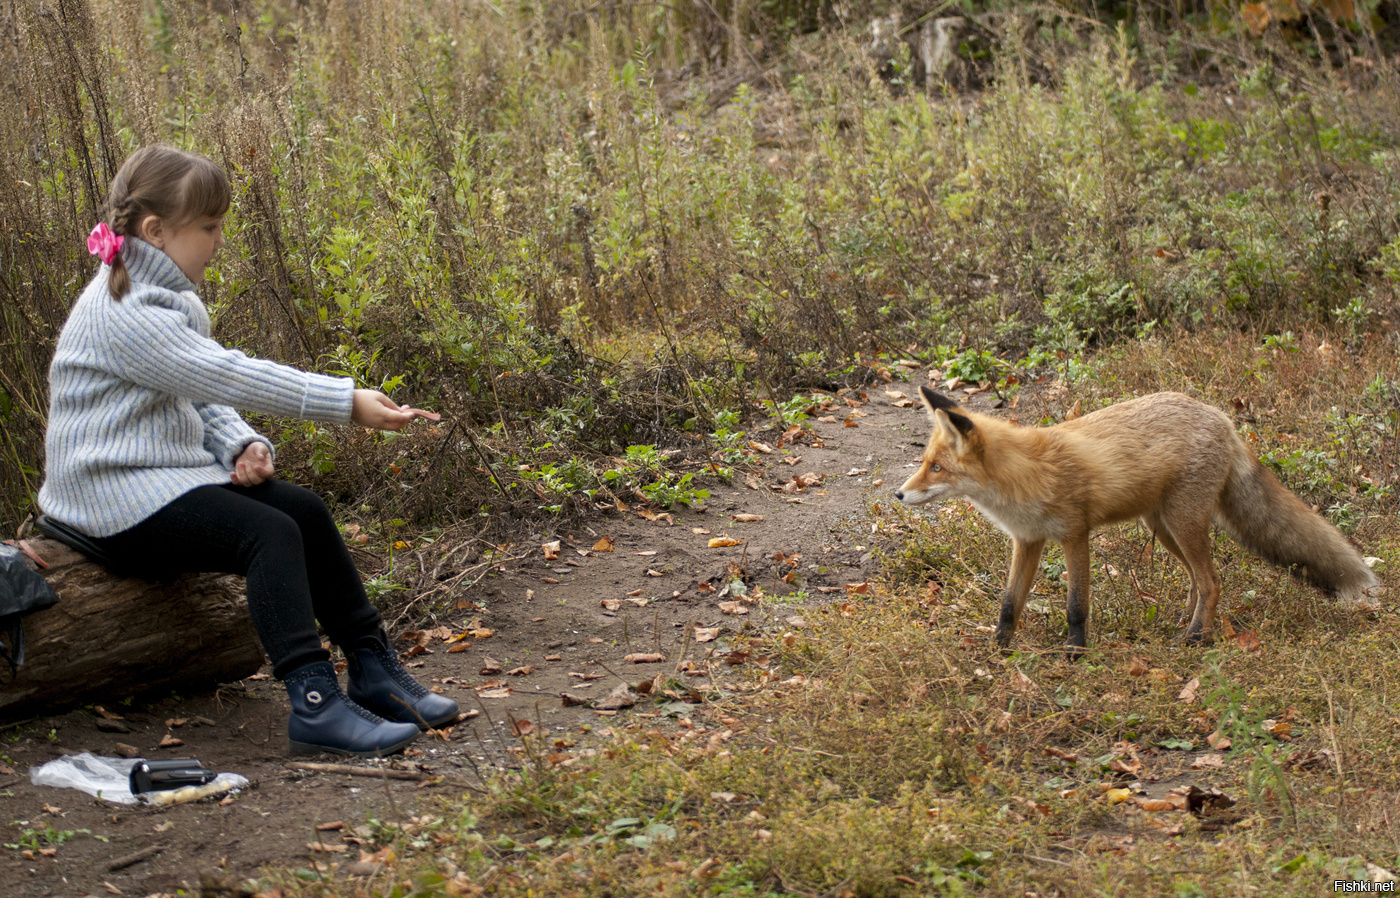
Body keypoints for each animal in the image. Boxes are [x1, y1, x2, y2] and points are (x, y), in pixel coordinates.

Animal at [896, 386, 1377, 650]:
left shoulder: (1075, 534)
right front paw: (997, 649)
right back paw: (1187, 623)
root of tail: (1221, 417)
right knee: (1197, 581)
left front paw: (1074, 653)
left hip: (1182, 522)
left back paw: (1196, 638)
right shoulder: (1028, 541)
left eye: (936, 468)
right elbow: (1009, 604)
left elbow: (1076, 607)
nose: (898, 493)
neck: (1026, 474)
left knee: (1212, 581)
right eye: (925, 462)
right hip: (1162, 529)